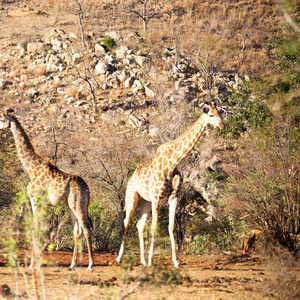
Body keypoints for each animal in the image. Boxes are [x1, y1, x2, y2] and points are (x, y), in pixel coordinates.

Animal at [0, 110, 94, 272]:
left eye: (1, 119)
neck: (31, 168)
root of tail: (87, 189)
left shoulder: (35, 200)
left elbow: (35, 228)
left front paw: (32, 265)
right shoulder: (41, 203)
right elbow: (40, 229)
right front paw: (35, 264)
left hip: (78, 204)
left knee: (86, 228)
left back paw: (90, 265)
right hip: (71, 206)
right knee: (77, 231)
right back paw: (72, 265)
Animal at [116, 102, 224, 268]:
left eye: (220, 113)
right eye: (211, 115)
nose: (222, 126)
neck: (173, 163)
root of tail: (131, 177)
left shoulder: (174, 198)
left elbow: (171, 227)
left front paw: (176, 261)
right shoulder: (157, 198)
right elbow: (154, 227)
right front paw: (152, 260)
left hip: (145, 201)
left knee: (139, 225)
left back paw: (142, 260)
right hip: (132, 196)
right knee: (126, 221)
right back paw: (120, 258)